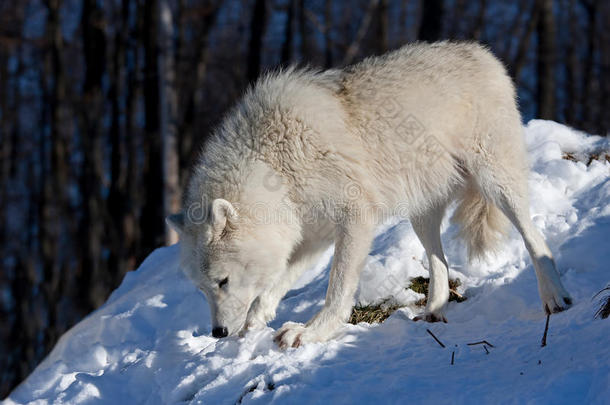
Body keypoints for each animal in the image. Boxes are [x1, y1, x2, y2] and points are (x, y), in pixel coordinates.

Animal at [166, 42, 568, 348]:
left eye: (223, 281)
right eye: (202, 289)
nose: (218, 333)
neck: (273, 164)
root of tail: (484, 54)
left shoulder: (355, 217)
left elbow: (338, 288)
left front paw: (312, 332)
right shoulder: (306, 236)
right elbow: (273, 288)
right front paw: (254, 325)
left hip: (497, 184)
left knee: (532, 236)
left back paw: (555, 298)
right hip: (421, 214)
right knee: (439, 262)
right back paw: (433, 311)